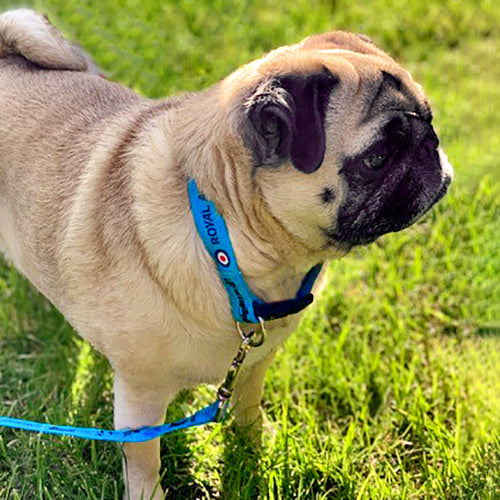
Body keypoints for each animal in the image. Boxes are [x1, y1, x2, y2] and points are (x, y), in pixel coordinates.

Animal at [0, 8, 454, 500]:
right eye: (378, 157)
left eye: (429, 120)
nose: (432, 146)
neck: (230, 240)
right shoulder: (139, 397)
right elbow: (144, 463)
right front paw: (149, 493)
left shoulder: (253, 363)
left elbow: (247, 411)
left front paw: (254, 453)